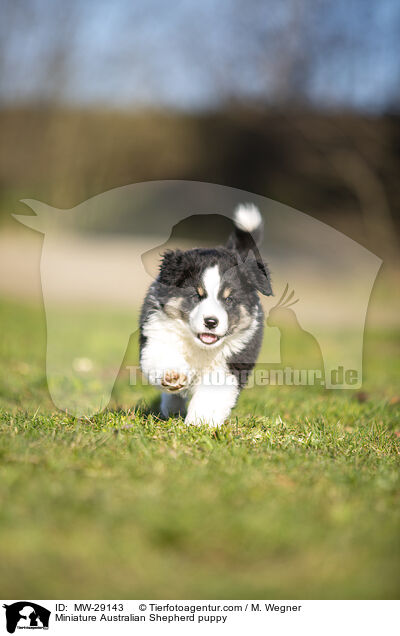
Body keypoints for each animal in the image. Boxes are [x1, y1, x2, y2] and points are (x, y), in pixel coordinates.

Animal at [139, 204, 274, 428]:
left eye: (228, 299)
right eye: (196, 295)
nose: (211, 322)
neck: (201, 347)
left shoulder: (232, 362)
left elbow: (212, 393)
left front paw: (200, 422)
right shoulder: (157, 332)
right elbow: (163, 356)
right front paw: (173, 376)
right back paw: (171, 407)